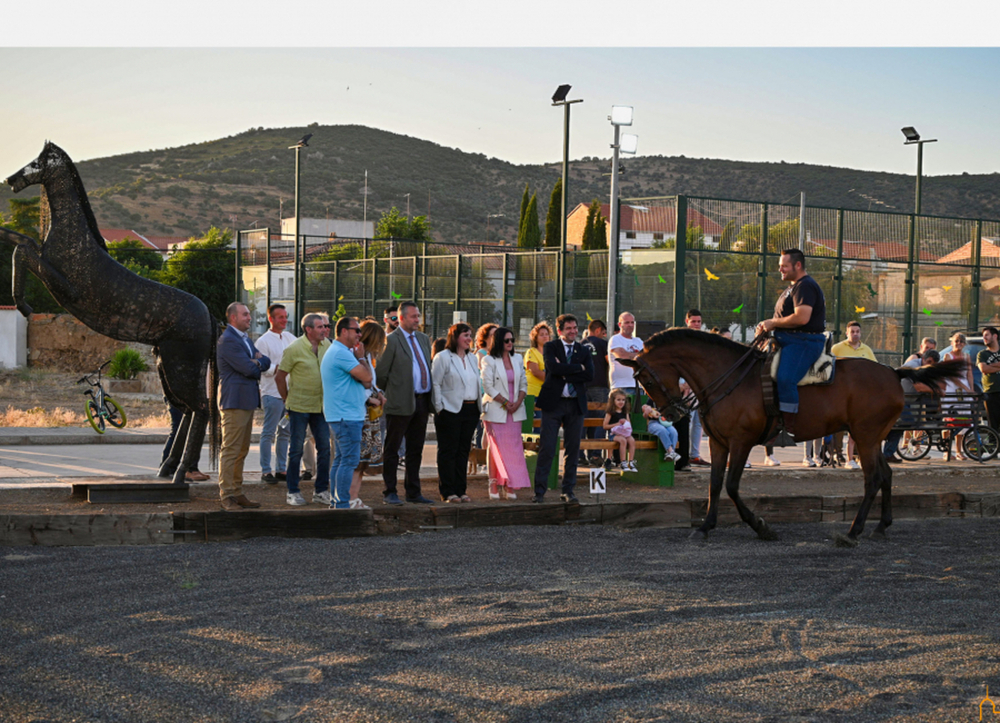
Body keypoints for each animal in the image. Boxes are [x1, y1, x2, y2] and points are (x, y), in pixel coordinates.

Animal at [620, 330, 964, 544]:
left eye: (646, 378)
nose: (671, 412)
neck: (729, 377)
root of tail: (894, 372)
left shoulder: (741, 442)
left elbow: (731, 486)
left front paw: (761, 527)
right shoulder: (718, 442)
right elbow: (715, 484)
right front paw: (705, 527)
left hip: (866, 437)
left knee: (874, 479)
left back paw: (854, 532)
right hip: (871, 437)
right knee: (887, 475)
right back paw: (881, 526)